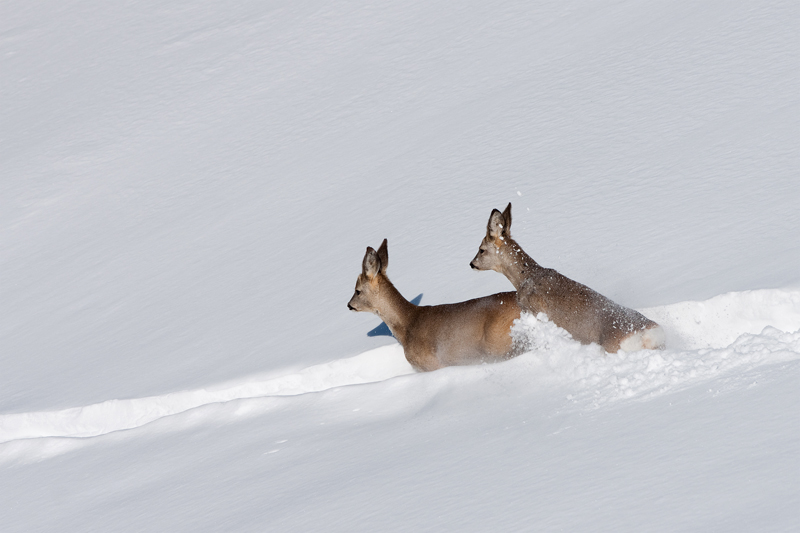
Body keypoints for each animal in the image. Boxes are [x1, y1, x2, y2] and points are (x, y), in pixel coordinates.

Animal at [468, 204, 664, 354]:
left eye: (481, 249)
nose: (471, 263)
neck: (525, 278)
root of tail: (650, 335)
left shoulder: (535, 312)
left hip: (614, 346)